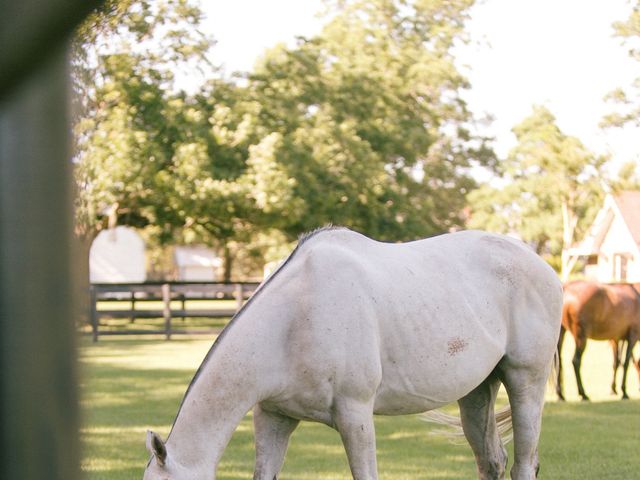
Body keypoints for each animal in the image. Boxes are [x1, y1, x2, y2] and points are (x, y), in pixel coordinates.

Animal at [144, 227, 560, 478]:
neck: (293, 321)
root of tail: (542, 264)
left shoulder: (355, 415)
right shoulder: (274, 417)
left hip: (525, 381)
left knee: (524, 463)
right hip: (476, 394)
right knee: (492, 462)